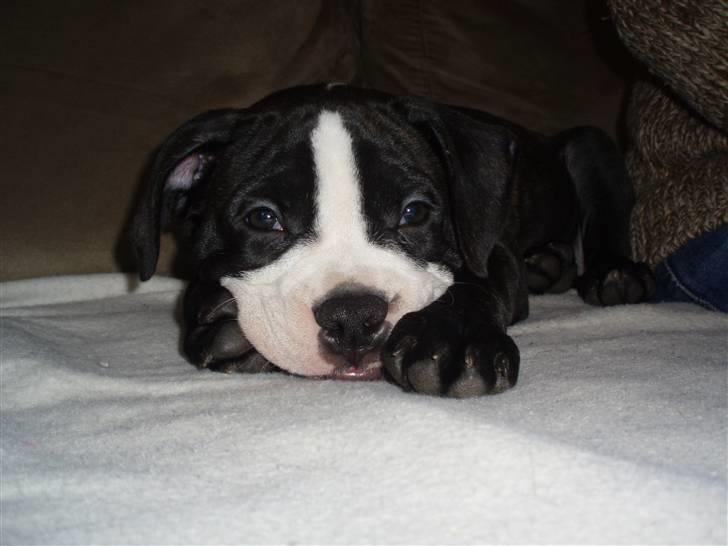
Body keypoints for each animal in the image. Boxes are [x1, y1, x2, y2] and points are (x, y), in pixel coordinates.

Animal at [129, 83, 656, 396]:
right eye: (263, 218)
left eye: (414, 213)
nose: (352, 319)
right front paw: (222, 326)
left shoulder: (494, 257)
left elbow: (473, 283)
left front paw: (455, 340)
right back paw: (548, 266)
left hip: (591, 146)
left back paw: (613, 274)